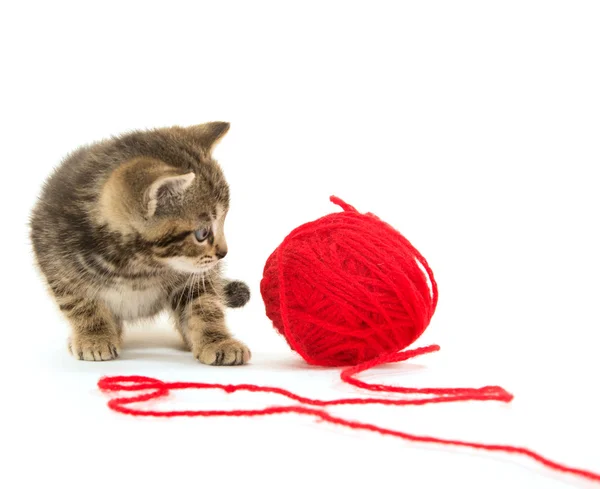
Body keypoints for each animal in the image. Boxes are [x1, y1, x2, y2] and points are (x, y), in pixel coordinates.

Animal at [29, 121, 251, 366]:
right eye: (202, 233)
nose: (224, 253)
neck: (138, 266)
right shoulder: (58, 267)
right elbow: (80, 304)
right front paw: (95, 336)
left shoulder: (195, 275)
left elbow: (205, 303)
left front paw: (217, 341)